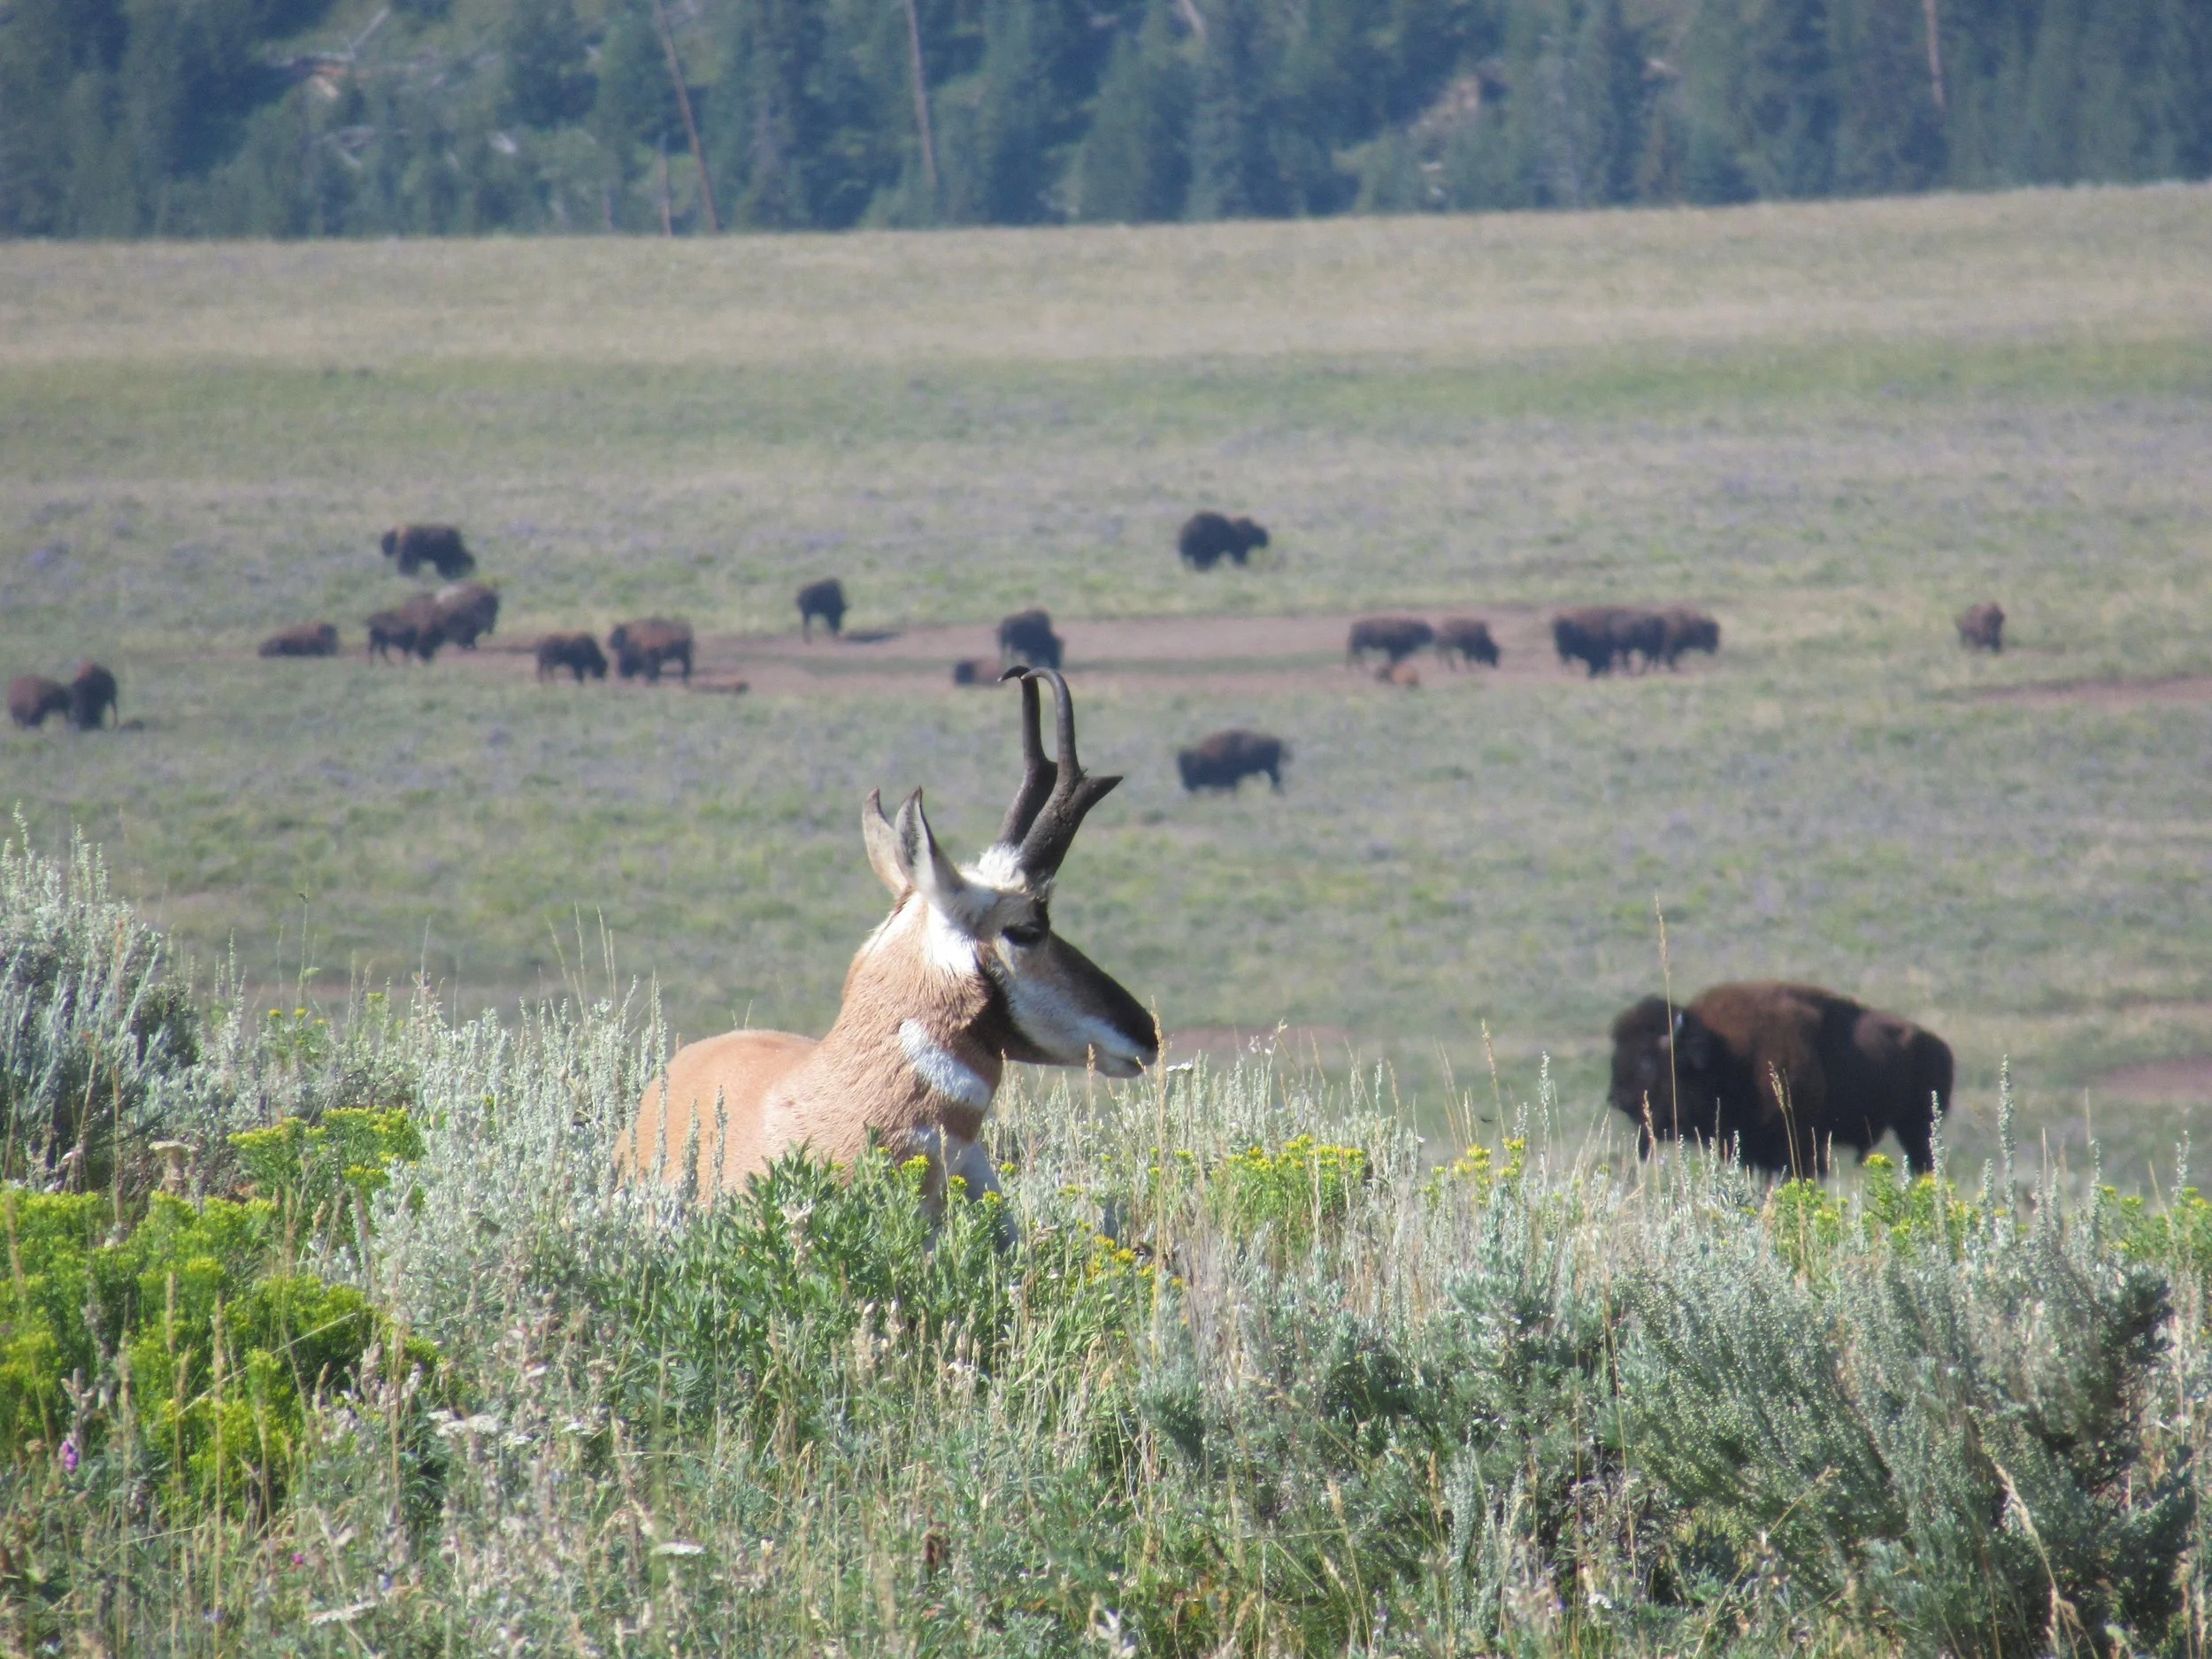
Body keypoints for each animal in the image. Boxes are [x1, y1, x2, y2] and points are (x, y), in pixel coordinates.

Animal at [1608, 981, 1954, 1177]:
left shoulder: (1795, 1146)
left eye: (1647, 1061)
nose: (1616, 1098)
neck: (1723, 1053)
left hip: (1917, 1127)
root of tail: (1940, 1047)